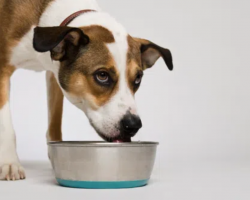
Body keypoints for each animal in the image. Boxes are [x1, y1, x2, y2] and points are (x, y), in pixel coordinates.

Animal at [0, 0, 173, 181]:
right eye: (102, 75)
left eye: (138, 78)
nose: (133, 125)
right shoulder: (2, 69)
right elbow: (5, 124)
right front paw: (9, 162)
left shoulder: (54, 74)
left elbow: (55, 122)